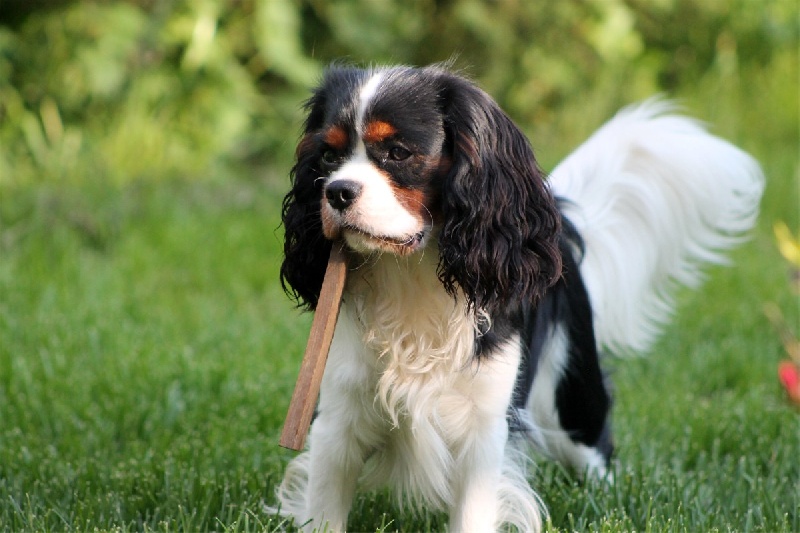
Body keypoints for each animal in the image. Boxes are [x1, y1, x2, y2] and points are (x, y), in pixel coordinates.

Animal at [274, 64, 764, 528]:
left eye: (398, 153)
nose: (336, 192)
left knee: (595, 447)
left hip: (573, 396)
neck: (411, 276)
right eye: (328, 155)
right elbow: (325, 511)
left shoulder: (484, 429)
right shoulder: (336, 423)